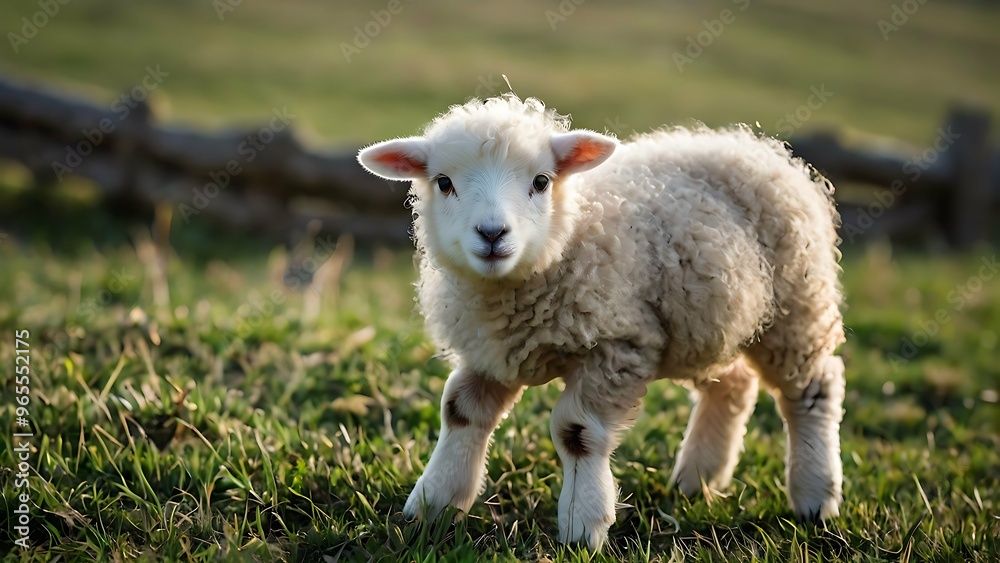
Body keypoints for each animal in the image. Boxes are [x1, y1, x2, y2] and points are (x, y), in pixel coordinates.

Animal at [357, 94, 846, 551]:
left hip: (797, 308)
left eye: (540, 181)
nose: (493, 234)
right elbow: (459, 411)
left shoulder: (618, 346)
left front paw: (581, 525)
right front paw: (432, 507)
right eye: (444, 182)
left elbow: (576, 431)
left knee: (813, 390)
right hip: (709, 322)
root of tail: (754, 145)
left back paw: (814, 495)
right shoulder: (490, 351)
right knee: (733, 386)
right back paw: (698, 479)